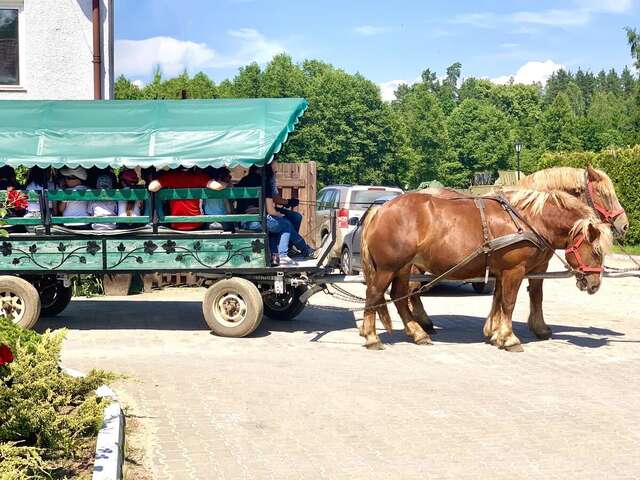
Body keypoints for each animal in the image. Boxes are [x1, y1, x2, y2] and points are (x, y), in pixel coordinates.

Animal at [362, 189, 612, 350]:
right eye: (596, 251)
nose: (595, 284)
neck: (527, 219)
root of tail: (381, 209)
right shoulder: (515, 270)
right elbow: (509, 302)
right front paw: (509, 339)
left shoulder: (502, 272)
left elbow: (499, 300)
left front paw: (496, 334)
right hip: (388, 268)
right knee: (374, 295)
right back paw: (372, 337)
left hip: (403, 268)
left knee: (399, 297)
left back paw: (418, 333)